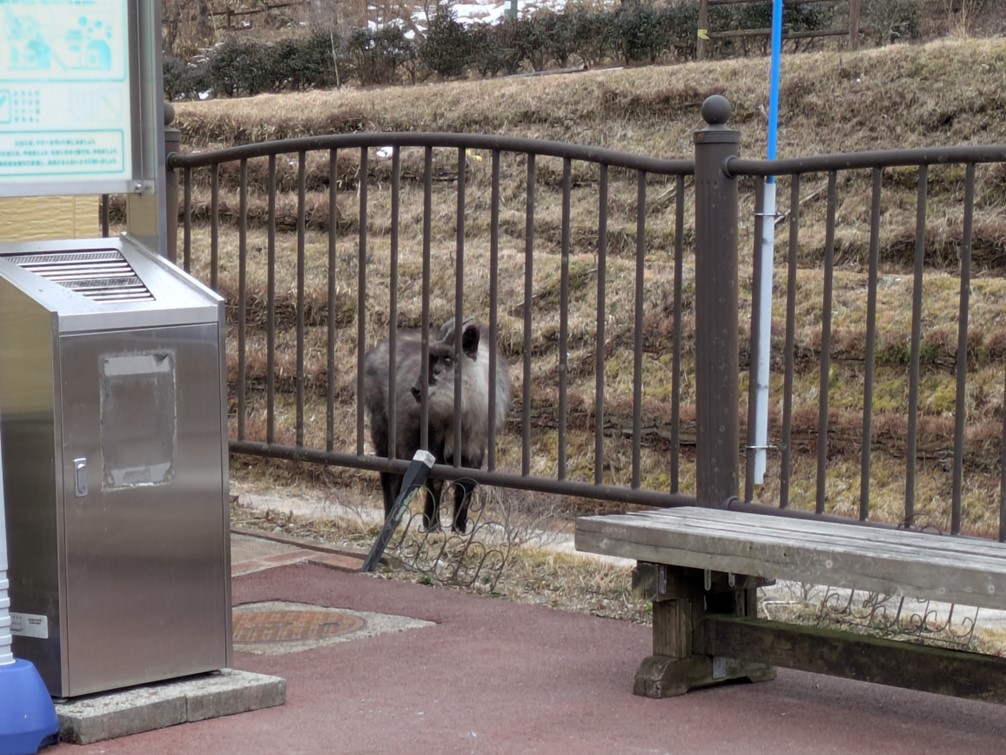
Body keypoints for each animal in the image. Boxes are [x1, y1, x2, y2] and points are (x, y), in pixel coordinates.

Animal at [363, 318, 512, 532]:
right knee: (388, 476)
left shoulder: (474, 446)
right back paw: (390, 517)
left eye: (448, 359)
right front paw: (432, 525)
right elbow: (436, 481)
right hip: (383, 432)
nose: (415, 390)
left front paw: (459, 528)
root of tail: (372, 354)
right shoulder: (431, 441)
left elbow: (466, 484)